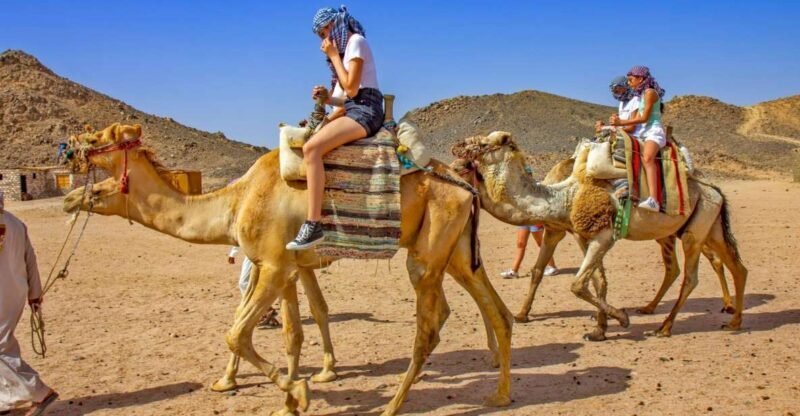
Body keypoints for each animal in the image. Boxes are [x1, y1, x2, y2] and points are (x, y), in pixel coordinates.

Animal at [63, 123, 513, 416]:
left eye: (97, 138)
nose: (69, 196)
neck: (237, 201)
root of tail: (465, 184)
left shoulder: (276, 265)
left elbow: (238, 332)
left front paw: (297, 392)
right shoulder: (281, 266)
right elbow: (289, 331)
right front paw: (284, 395)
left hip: (428, 252)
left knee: (430, 326)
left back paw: (392, 405)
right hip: (456, 250)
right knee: (494, 311)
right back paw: (499, 395)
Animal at [451, 131, 747, 340]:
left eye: (487, 142)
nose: (457, 149)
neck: (564, 197)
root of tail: (714, 189)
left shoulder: (602, 236)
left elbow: (578, 285)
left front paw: (621, 319)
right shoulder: (584, 236)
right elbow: (597, 282)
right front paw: (600, 329)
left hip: (694, 233)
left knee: (692, 277)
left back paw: (664, 326)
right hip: (705, 226)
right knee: (733, 266)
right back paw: (731, 320)